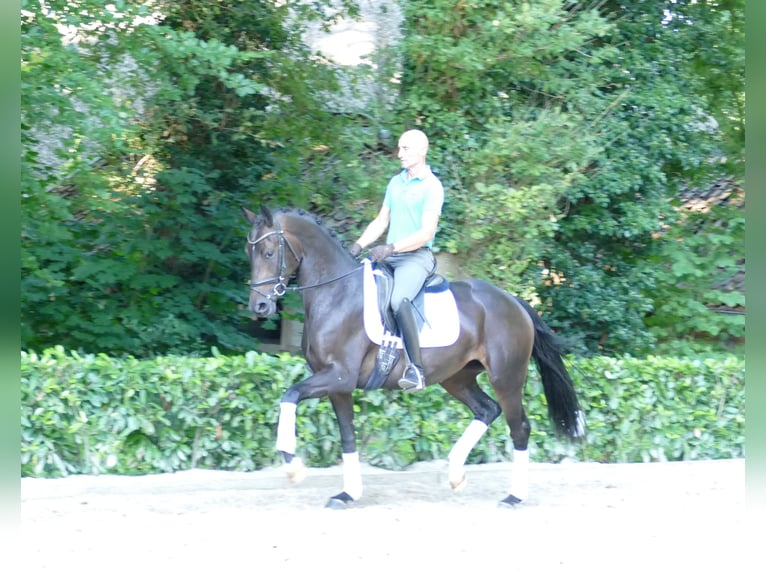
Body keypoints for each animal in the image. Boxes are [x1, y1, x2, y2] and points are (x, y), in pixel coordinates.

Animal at [243, 206, 584, 508]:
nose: (259, 307)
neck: (336, 293)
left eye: (269, 253)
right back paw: (454, 472)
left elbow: (289, 395)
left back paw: (513, 496)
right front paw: (348, 494)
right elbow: (348, 437)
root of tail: (515, 301)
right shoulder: (338, 385)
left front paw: (292, 466)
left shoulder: (338, 376)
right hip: (457, 378)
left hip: (506, 377)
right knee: (487, 410)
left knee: (519, 427)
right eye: (250, 253)